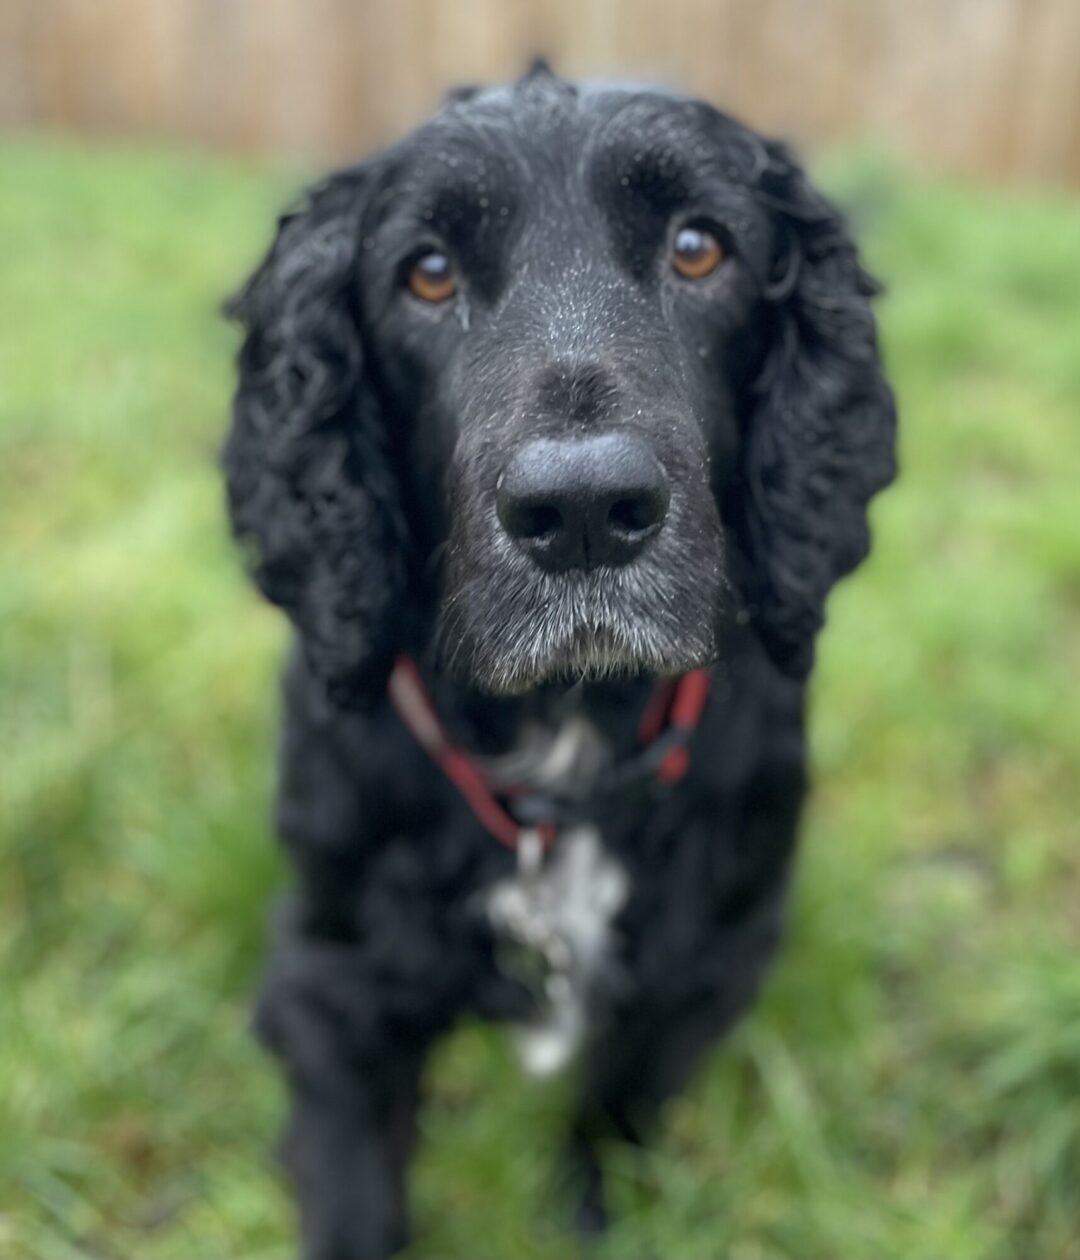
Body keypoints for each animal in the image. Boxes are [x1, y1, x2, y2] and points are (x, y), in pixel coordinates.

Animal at [225, 61, 892, 1260]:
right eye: (427, 272)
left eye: (698, 247)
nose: (583, 512)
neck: (568, 749)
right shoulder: (337, 988)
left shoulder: (699, 964)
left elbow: (618, 1118)